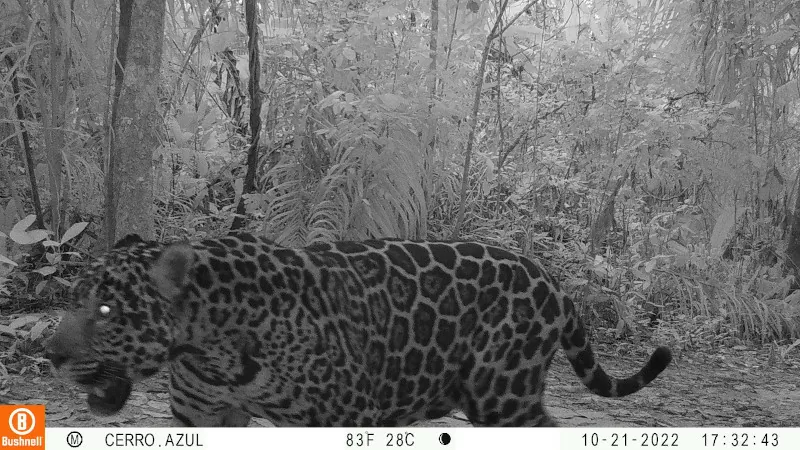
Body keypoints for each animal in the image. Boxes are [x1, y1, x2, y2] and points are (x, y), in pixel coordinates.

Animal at [46, 232, 671, 427]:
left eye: (107, 310)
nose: (49, 354)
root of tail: (551, 278)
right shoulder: (202, 417)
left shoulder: (348, 417)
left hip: (502, 394)